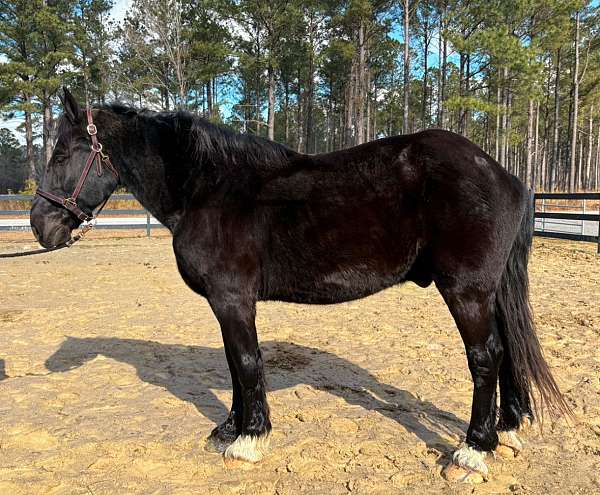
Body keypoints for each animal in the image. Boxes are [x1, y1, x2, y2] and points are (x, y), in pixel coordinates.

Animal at [29, 88, 572, 480]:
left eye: (62, 154)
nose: (40, 227)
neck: (209, 189)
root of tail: (504, 174)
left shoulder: (232, 299)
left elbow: (247, 363)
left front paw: (249, 440)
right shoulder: (230, 304)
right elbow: (235, 365)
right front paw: (230, 429)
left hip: (465, 290)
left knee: (486, 357)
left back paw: (473, 450)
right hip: (489, 291)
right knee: (508, 351)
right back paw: (508, 430)